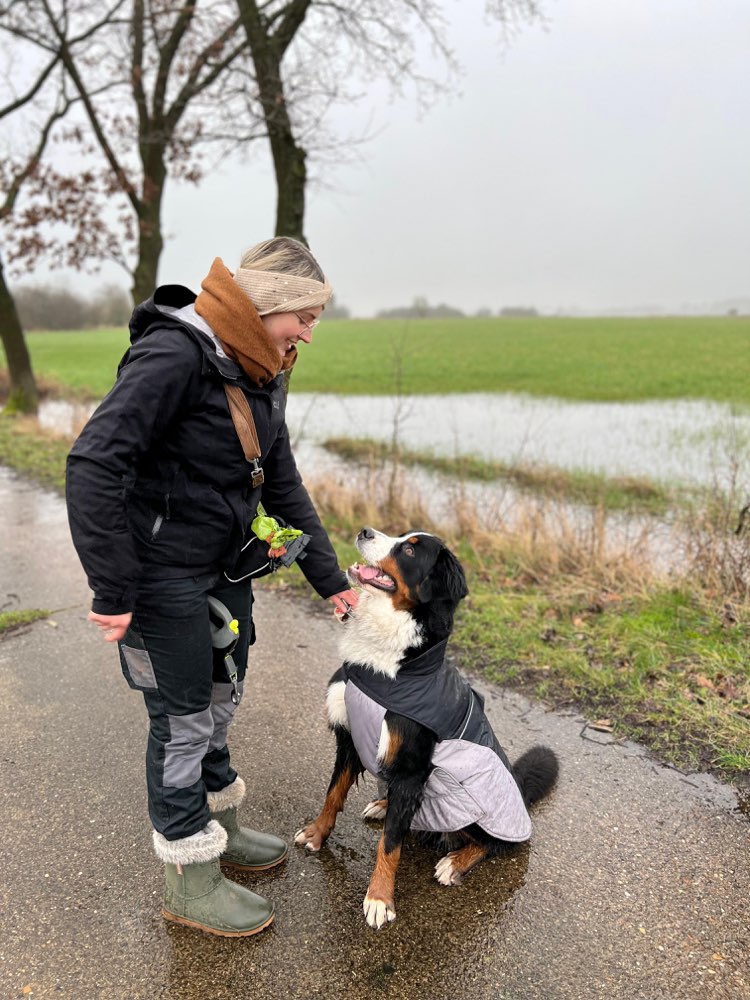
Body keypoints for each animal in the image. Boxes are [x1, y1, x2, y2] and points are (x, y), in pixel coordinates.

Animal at [296, 528, 560, 924]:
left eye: (408, 550)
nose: (364, 531)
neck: (391, 667)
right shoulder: (351, 737)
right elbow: (333, 794)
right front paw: (316, 833)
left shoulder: (411, 766)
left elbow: (390, 843)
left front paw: (379, 898)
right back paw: (384, 804)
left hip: (472, 799)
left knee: (493, 842)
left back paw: (455, 861)